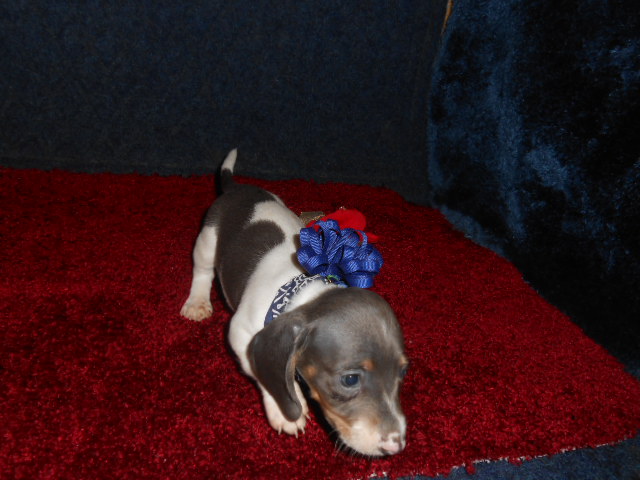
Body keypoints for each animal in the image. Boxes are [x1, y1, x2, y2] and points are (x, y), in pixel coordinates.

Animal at [181, 149, 408, 456]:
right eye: (349, 380)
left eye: (402, 372)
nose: (396, 446)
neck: (301, 292)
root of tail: (237, 187)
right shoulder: (241, 333)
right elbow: (262, 372)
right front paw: (284, 411)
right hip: (207, 240)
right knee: (202, 270)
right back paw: (197, 301)